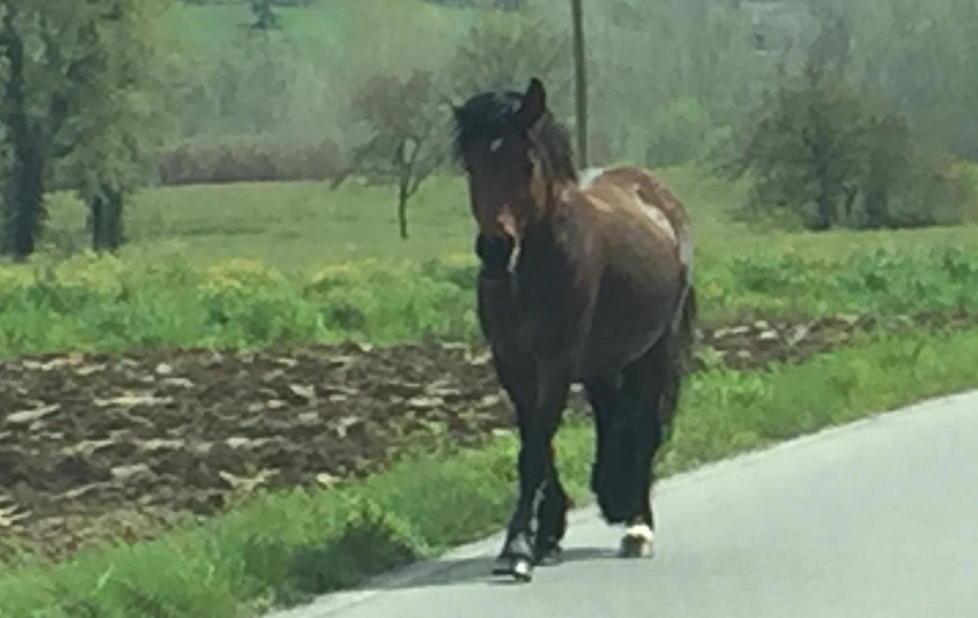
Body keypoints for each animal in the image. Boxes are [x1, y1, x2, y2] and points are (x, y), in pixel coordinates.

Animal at [451, 78, 697, 582]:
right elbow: (535, 443)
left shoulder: (557, 361)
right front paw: (546, 534)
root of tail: (659, 198)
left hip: (654, 350)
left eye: (525, 161)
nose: (494, 250)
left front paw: (517, 548)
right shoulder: (512, 364)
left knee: (644, 427)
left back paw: (638, 527)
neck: (530, 268)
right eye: (471, 164)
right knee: (612, 419)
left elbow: (535, 447)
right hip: (605, 361)